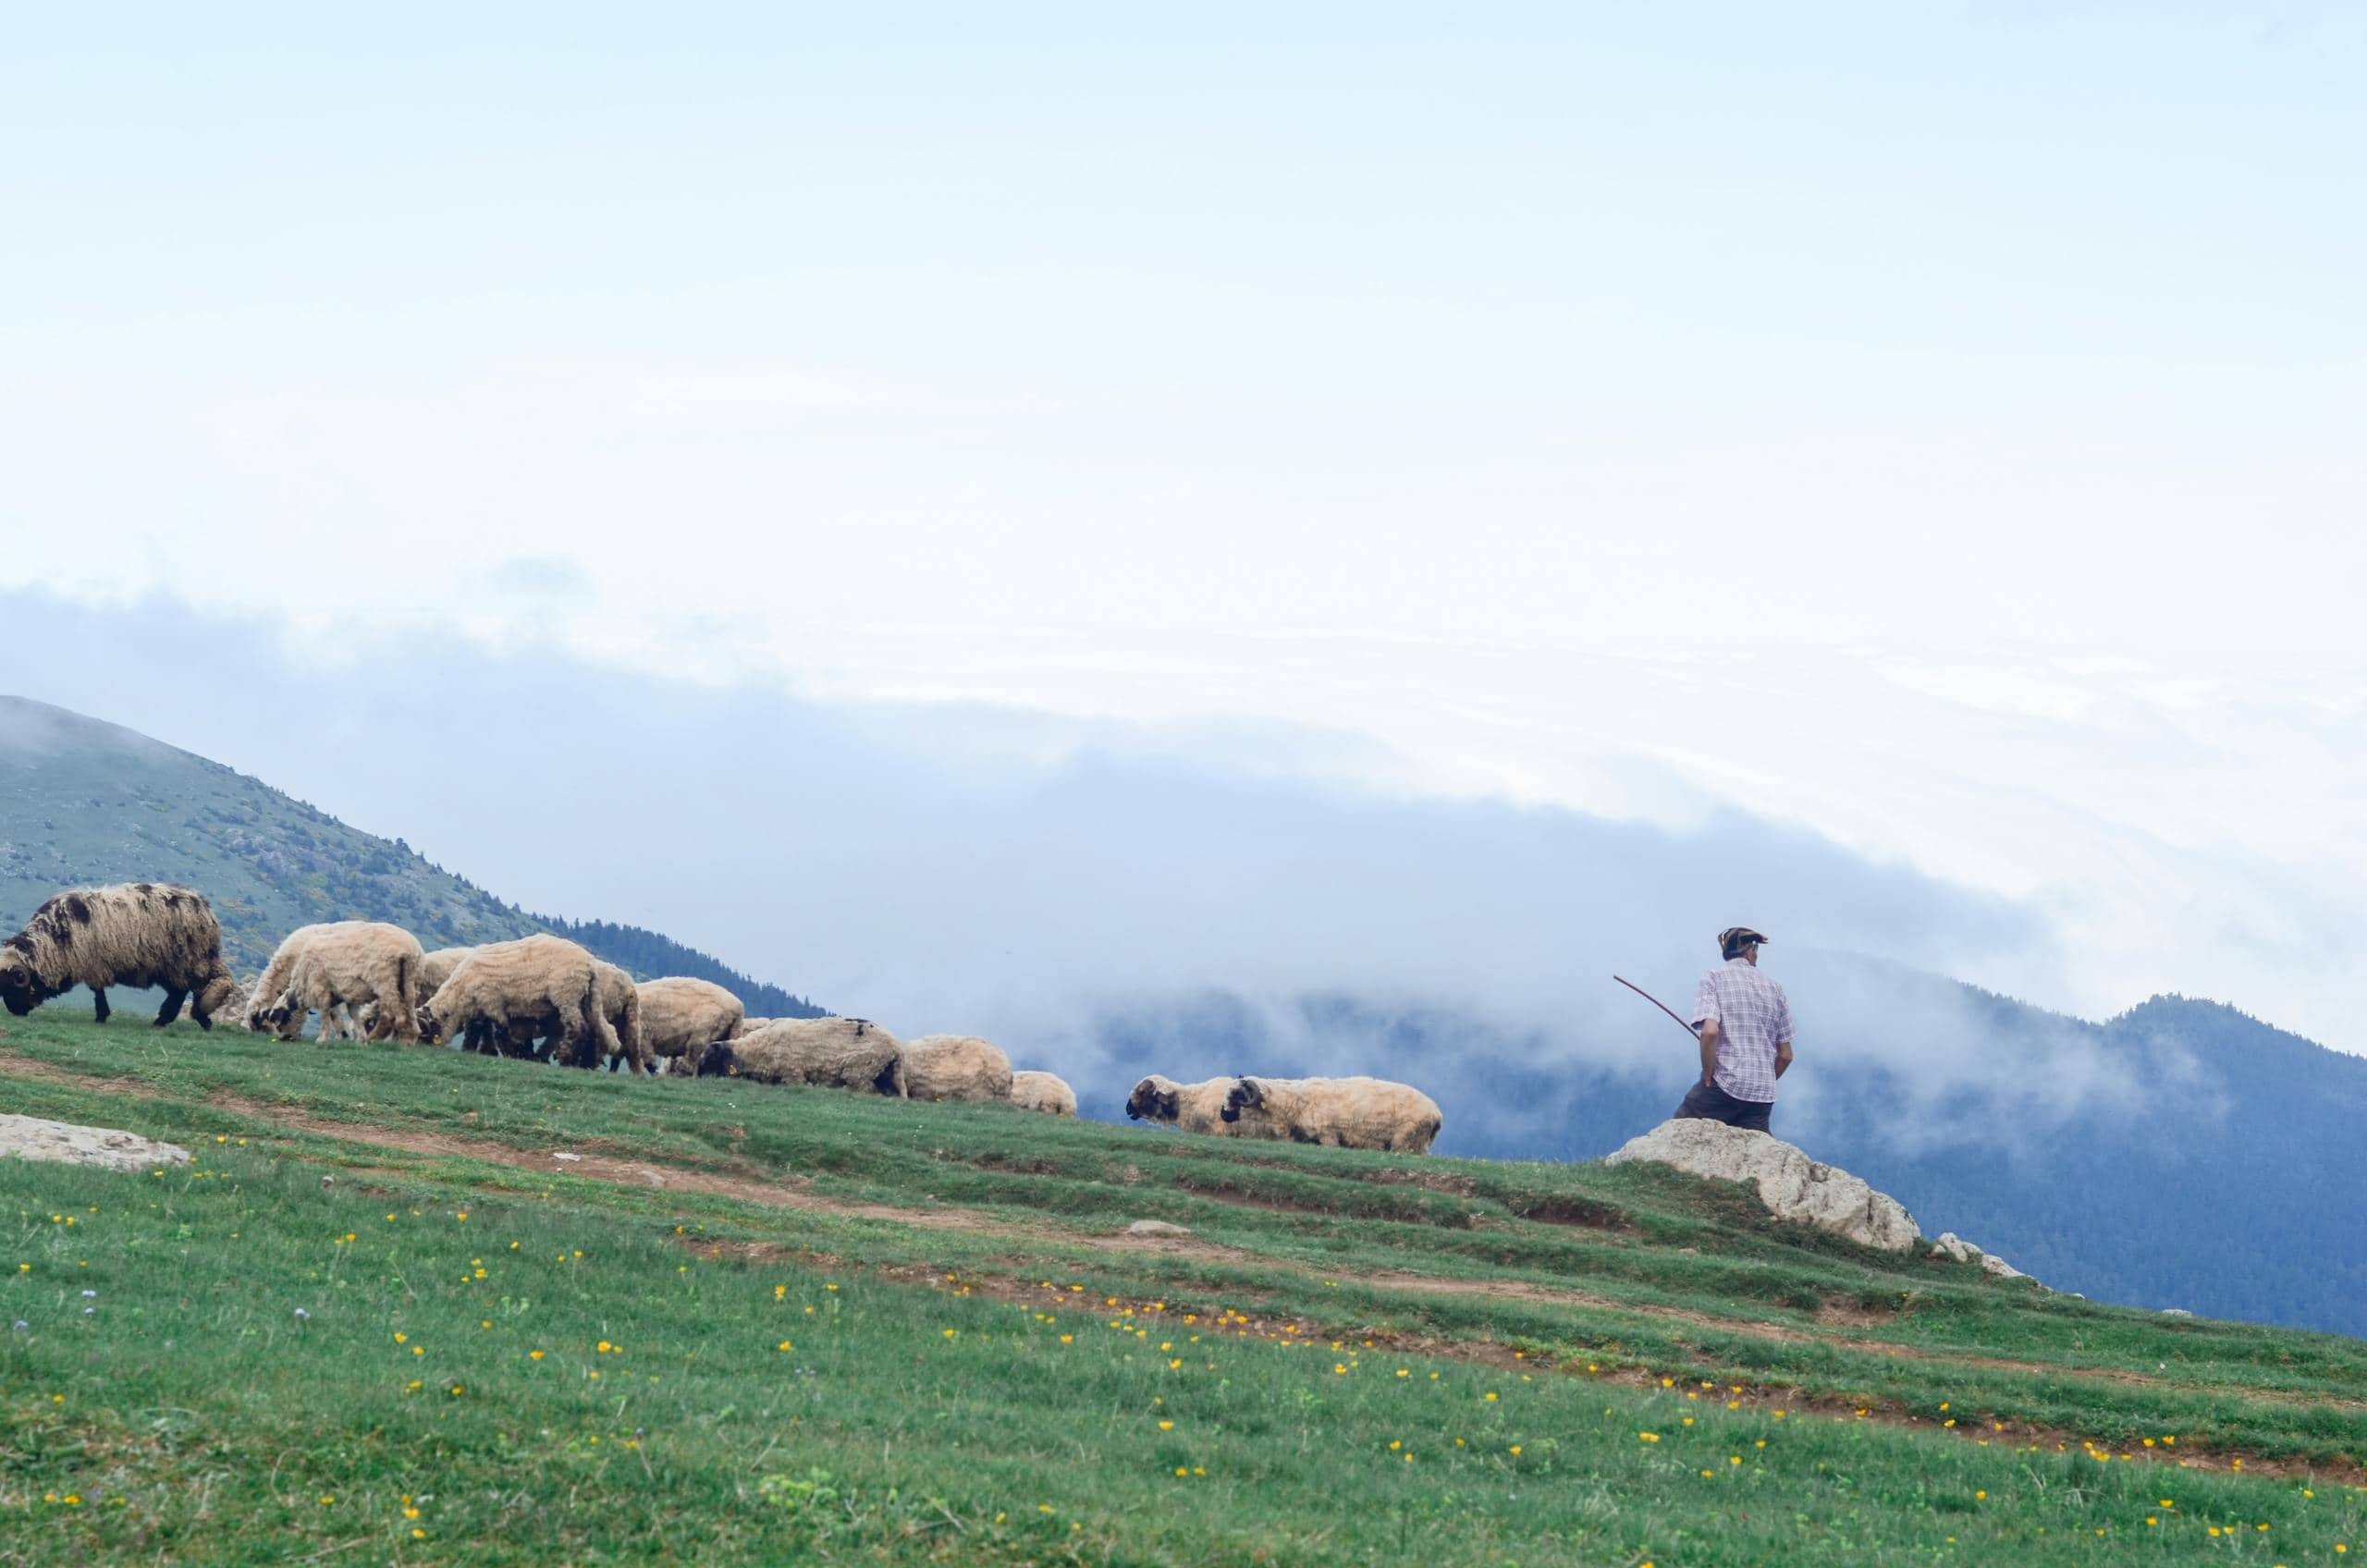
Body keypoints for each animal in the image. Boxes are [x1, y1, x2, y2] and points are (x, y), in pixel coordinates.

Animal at [0, 882, 240, 1028]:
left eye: (14, 985)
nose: (14, 1012)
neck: (52, 943)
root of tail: (205, 909)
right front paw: (102, 1015)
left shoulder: (94, 965)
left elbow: (98, 992)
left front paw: (101, 1016)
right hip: (174, 966)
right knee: (183, 991)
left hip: (183, 961)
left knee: (186, 991)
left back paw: (175, 1020)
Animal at [248, 922, 427, 1044]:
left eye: (259, 1022)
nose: (284, 1038)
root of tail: (411, 949)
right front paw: (347, 1036)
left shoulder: (322, 984)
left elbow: (330, 1012)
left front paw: (336, 1036)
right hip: (410, 983)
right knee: (409, 1011)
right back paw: (408, 1038)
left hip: (384, 981)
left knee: (391, 1014)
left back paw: (376, 1038)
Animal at [414, 934, 607, 1066]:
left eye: (428, 1034)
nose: (419, 1048)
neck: (460, 987)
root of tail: (590, 964)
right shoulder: (481, 1007)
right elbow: (478, 1030)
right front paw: (474, 1049)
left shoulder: (493, 1004)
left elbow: (500, 1031)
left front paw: (510, 1053)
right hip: (584, 999)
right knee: (591, 1029)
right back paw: (579, 1061)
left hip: (567, 996)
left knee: (577, 1028)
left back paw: (566, 1059)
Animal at [696, 1017, 906, 1096]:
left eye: (710, 1060)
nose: (697, 1079)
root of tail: (896, 1047)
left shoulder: (793, 1074)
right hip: (887, 1075)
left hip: (860, 1072)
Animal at [1220, 1076, 1444, 1154]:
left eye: (1237, 1094)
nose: (1224, 1115)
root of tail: (1436, 1114)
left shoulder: (1328, 1136)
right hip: (1419, 1143)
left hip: (1405, 1140)